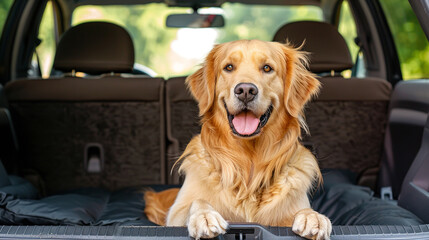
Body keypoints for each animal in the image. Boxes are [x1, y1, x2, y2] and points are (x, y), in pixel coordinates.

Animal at [144, 39, 332, 240]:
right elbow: (197, 202)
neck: (248, 162)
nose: (246, 90)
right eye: (228, 67)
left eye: (267, 68)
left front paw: (313, 217)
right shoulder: (176, 213)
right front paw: (204, 216)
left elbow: (301, 210)